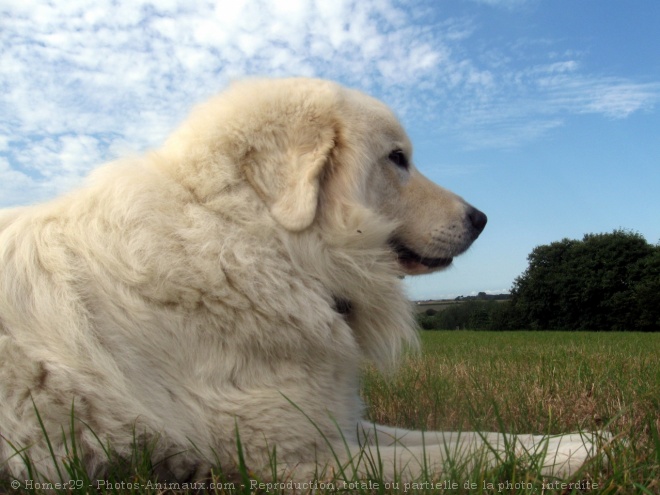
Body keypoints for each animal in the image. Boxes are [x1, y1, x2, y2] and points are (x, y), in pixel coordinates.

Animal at [0, 79, 604, 482]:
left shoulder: (334, 424)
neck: (253, 240)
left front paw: (569, 440)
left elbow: (468, 437)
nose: (481, 218)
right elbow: (457, 455)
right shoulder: (294, 460)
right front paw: (581, 452)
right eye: (397, 158)